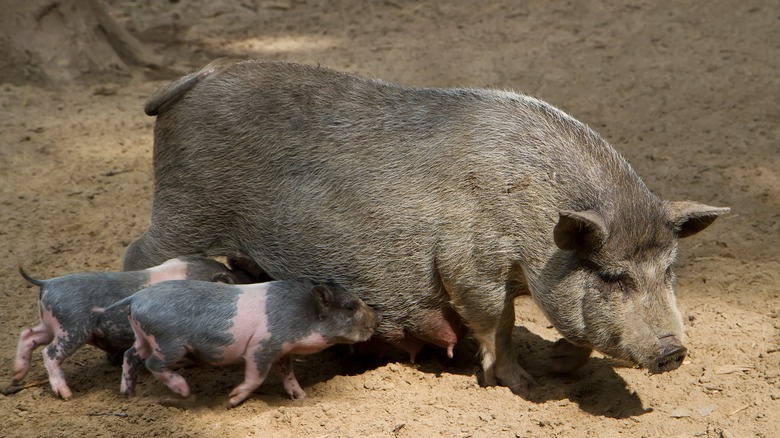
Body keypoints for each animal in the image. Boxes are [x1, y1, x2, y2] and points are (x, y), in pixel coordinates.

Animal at [12, 253, 253, 400]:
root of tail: (47, 283)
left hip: (49, 324)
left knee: (27, 335)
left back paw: (16, 375)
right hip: (71, 328)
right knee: (49, 353)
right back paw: (66, 394)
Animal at [116, 278, 380, 408]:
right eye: (350, 307)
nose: (377, 317)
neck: (302, 314)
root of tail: (136, 298)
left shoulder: (282, 350)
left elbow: (288, 373)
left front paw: (301, 397)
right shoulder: (262, 345)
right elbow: (257, 376)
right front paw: (231, 400)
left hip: (143, 336)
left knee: (130, 354)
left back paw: (128, 396)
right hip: (168, 342)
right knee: (153, 363)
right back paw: (184, 391)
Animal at [123, 60, 732, 396]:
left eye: (669, 271)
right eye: (610, 277)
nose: (673, 352)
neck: (535, 219)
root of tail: (195, 79)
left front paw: (557, 365)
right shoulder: (471, 265)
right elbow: (497, 322)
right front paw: (521, 383)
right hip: (184, 208)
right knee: (137, 255)